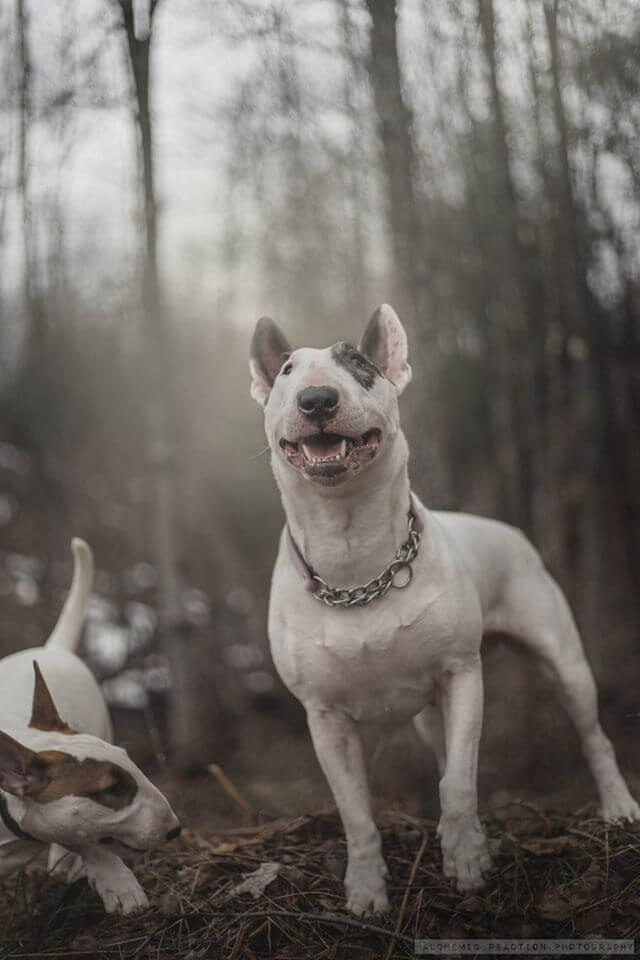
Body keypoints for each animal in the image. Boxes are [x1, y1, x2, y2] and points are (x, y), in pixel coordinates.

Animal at [250, 306, 640, 916]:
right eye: (287, 370)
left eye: (359, 365)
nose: (316, 400)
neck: (355, 561)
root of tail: (509, 529)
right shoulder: (326, 717)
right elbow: (356, 811)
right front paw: (366, 890)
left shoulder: (462, 674)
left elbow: (459, 783)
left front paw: (468, 860)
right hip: (429, 714)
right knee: (444, 755)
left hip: (563, 660)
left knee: (590, 735)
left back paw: (619, 808)